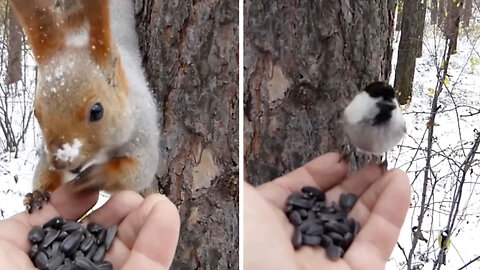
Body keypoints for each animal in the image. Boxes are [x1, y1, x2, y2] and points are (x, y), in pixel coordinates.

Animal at [9, 0, 160, 212]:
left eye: (97, 111)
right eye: (36, 113)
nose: (61, 161)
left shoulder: (142, 130)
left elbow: (138, 171)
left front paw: (97, 176)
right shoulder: (46, 151)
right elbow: (45, 170)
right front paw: (38, 194)